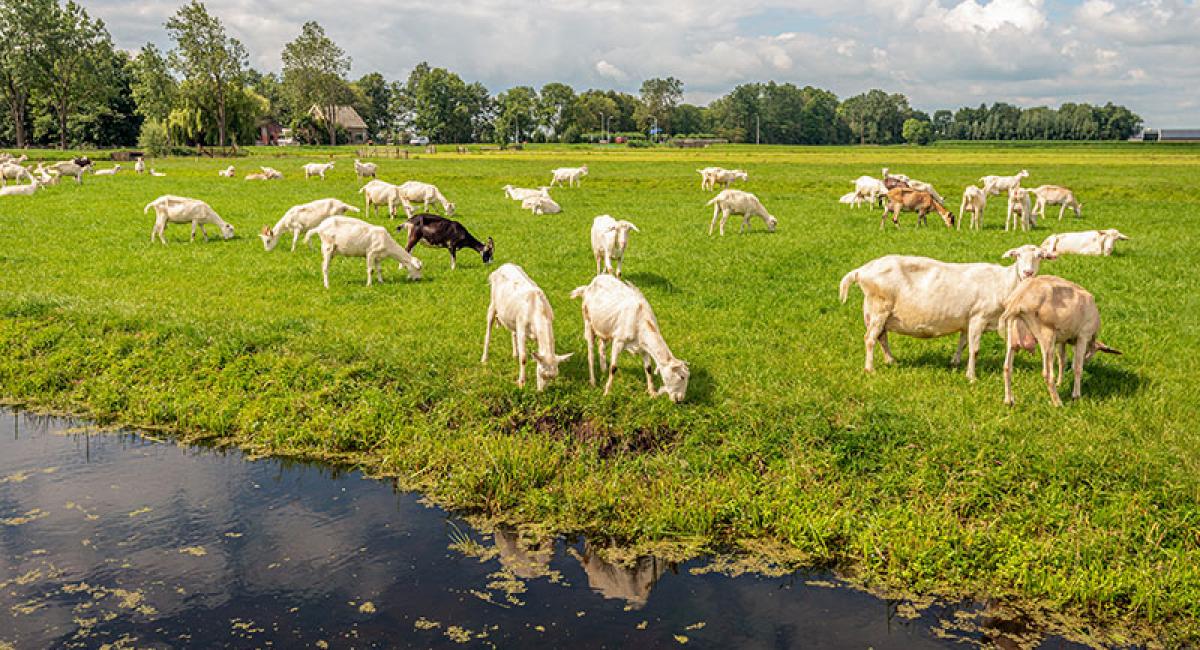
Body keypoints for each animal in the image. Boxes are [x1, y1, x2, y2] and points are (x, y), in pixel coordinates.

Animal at [477, 262, 571, 390]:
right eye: (541, 372)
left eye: (553, 377)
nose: (541, 391)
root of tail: (503, 265)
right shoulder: (522, 328)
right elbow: (524, 357)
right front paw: (521, 382)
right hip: (493, 303)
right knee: (488, 331)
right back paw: (484, 359)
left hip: (513, 316)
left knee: (512, 331)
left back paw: (514, 354)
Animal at [568, 273, 691, 402]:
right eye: (682, 376)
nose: (680, 399)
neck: (640, 320)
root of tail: (589, 286)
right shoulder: (618, 341)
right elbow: (614, 367)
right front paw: (607, 392)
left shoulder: (643, 346)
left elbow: (648, 368)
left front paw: (652, 392)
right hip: (588, 322)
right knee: (590, 353)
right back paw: (593, 382)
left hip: (604, 328)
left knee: (601, 346)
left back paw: (603, 370)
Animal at [840, 244, 1056, 381]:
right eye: (1017, 255)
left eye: (1040, 256)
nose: (1028, 273)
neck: (1004, 283)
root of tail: (861, 271)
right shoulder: (979, 317)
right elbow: (974, 349)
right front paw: (971, 377)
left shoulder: (968, 319)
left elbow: (963, 342)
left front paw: (955, 362)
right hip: (879, 308)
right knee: (870, 339)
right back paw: (870, 369)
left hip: (876, 312)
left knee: (881, 337)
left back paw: (891, 361)